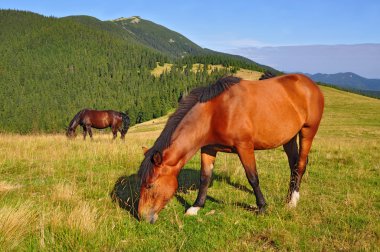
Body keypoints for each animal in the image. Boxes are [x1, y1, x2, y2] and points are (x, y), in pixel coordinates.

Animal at [138, 74, 326, 223]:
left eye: (150, 185)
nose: (141, 217)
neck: (216, 113)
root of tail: (309, 83)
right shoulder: (208, 149)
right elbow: (204, 177)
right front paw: (196, 206)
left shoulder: (245, 147)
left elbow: (253, 177)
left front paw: (262, 207)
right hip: (288, 138)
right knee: (293, 164)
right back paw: (288, 197)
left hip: (308, 131)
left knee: (300, 164)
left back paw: (293, 201)